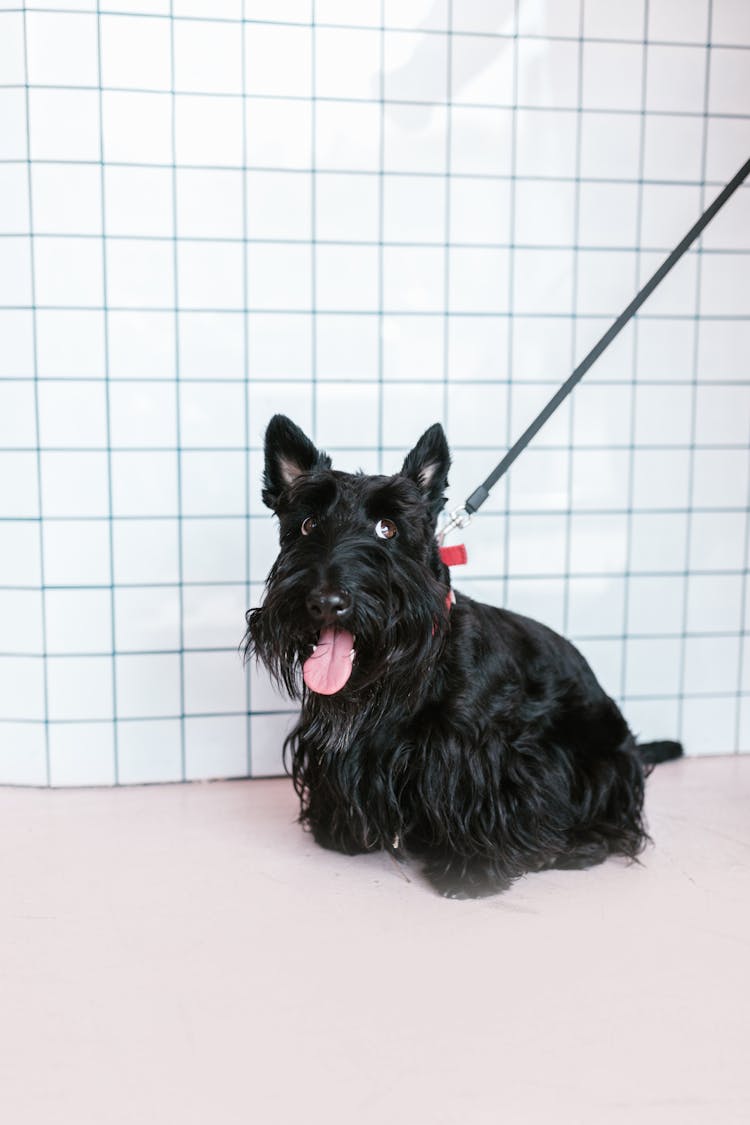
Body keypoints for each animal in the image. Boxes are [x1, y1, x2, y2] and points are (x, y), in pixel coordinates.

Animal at [244, 414, 683, 895]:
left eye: (387, 528)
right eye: (307, 524)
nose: (326, 601)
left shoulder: (477, 752)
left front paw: (472, 867)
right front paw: (341, 831)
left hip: (599, 763)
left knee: (614, 824)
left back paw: (571, 847)